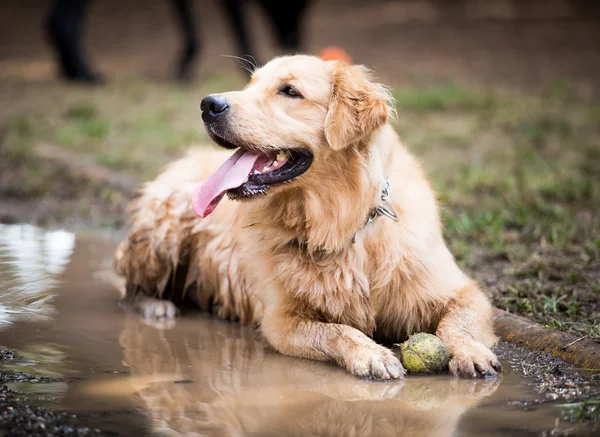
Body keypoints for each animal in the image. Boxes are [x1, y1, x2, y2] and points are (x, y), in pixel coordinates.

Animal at [113, 55, 502, 378]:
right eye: (250, 84)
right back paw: (156, 306)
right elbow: (337, 330)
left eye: (289, 91)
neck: (341, 222)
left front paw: (470, 353)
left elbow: (457, 324)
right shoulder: (281, 321)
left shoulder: (462, 291)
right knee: (127, 284)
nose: (208, 104)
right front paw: (371, 354)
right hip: (165, 225)